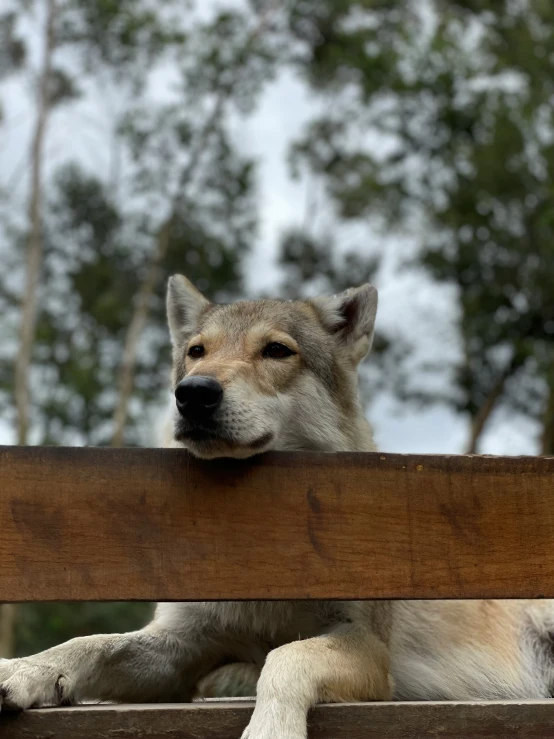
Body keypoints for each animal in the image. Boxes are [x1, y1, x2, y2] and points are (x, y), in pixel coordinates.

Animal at [1, 276, 552, 739]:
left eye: (276, 351)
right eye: (197, 352)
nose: (192, 393)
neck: (264, 531)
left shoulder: (367, 647)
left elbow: (286, 657)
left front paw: (271, 731)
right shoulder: (178, 652)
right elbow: (90, 642)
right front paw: (26, 669)